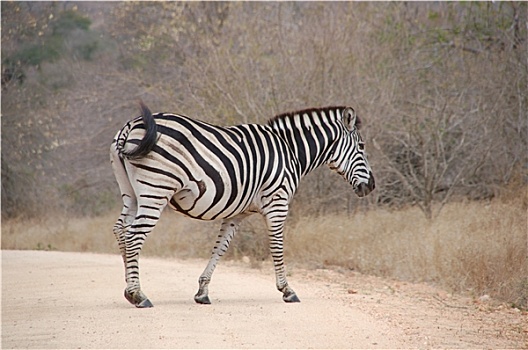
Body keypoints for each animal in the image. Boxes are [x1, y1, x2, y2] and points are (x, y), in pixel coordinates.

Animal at [110, 101, 376, 306]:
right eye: (362, 147)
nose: (371, 186)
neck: (290, 150)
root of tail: (130, 125)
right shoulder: (278, 202)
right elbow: (277, 246)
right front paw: (287, 290)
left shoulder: (237, 213)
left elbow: (220, 248)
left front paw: (202, 292)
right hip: (156, 188)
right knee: (133, 236)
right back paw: (139, 295)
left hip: (131, 194)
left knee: (121, 230)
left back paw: (128, 291)